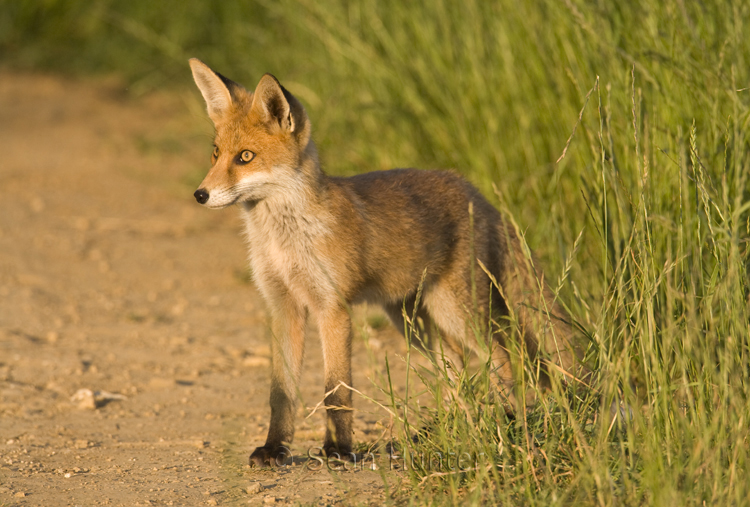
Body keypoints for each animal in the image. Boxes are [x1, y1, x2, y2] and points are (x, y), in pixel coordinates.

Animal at [188, 58, 592, 468]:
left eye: (245, 157)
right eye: (216, 153)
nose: (200, 194)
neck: (285, 240)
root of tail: (475, 191)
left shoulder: (332, 308)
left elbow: (336, 390)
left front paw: (338, 450)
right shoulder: (282, 307)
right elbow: (281, 393)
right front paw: (275, 449)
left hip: (455, 313)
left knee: (504, 360)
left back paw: (510, 422)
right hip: (414, 322)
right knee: (458, 368)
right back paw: (451, 428)